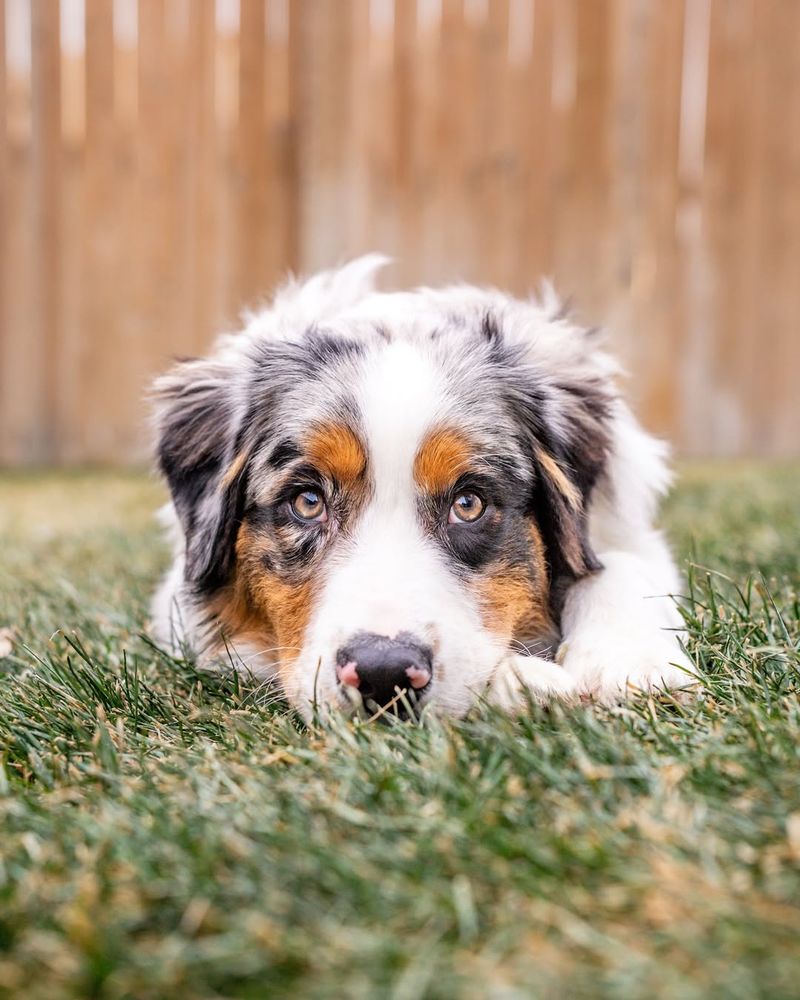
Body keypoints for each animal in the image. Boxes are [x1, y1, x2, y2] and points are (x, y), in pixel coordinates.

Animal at [152, 256, 692, 720]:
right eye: (307, 501)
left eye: (468, 503)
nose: (382, 673)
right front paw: (520, 680)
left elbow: (616, 565)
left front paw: (629, 662)